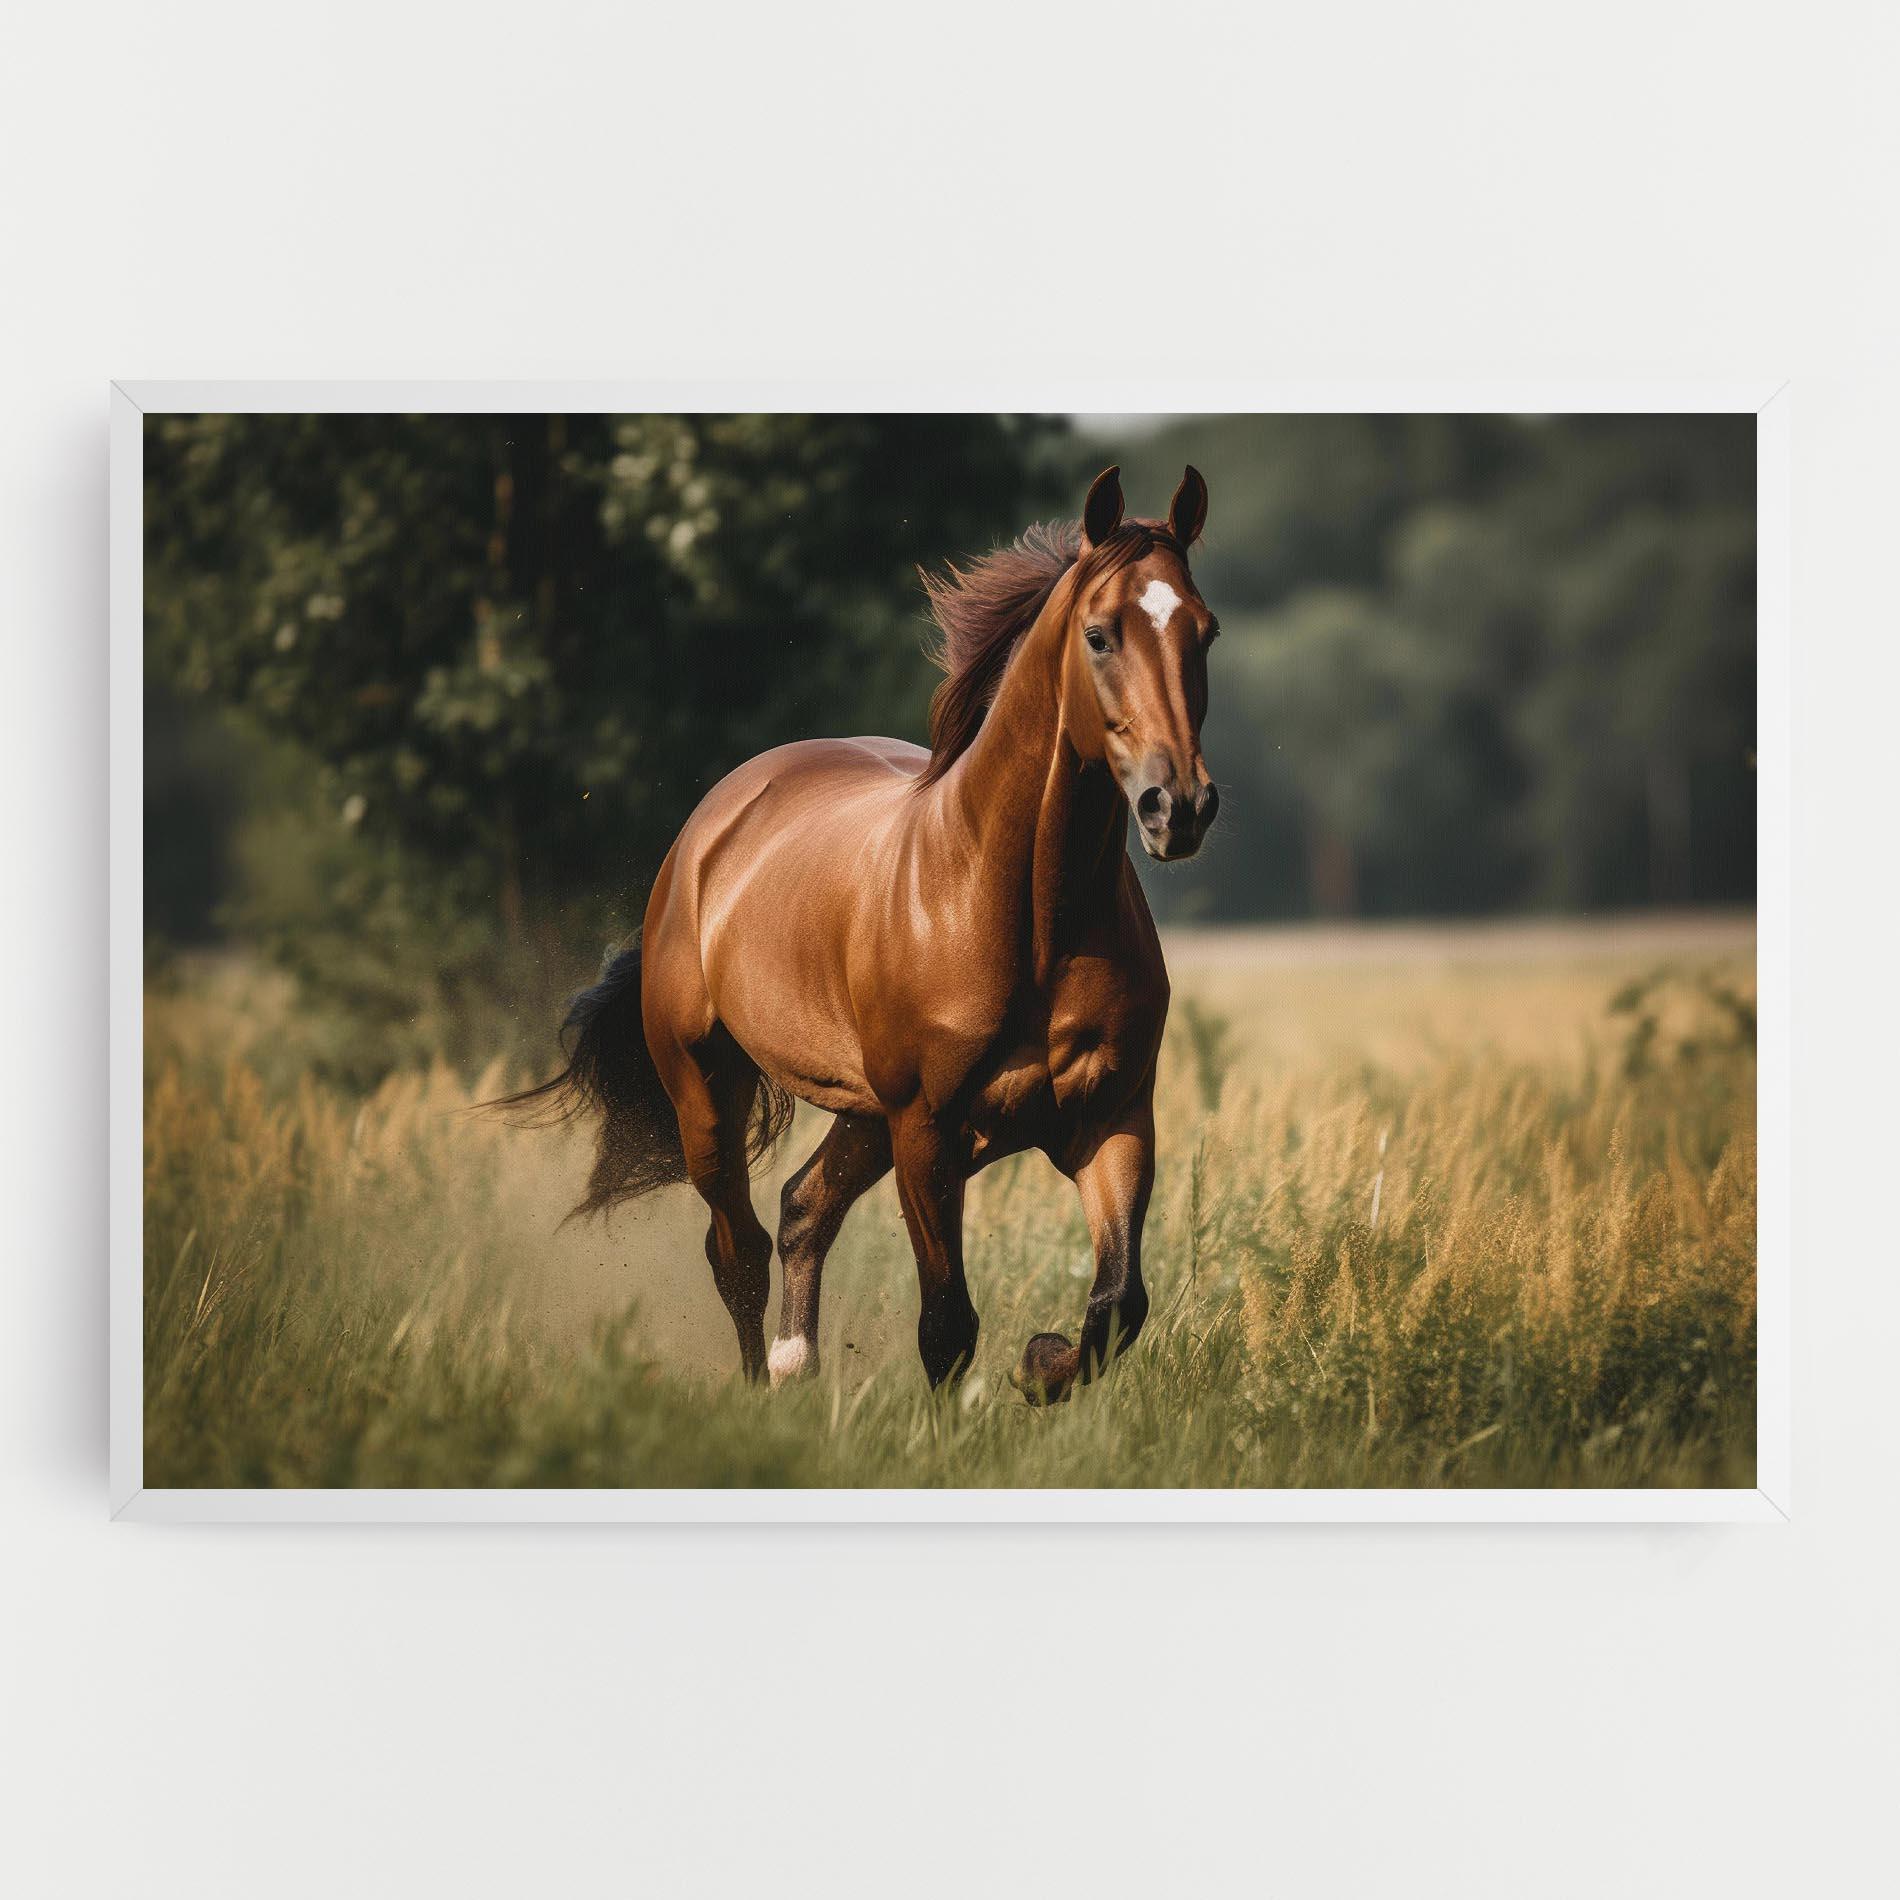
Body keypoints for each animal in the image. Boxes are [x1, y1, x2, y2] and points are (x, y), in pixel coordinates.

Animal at [504, 464, 1220, 1404]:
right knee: (738, 1251)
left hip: (864, 1115)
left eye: (1205, 632)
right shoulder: (927, 1131)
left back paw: (796, 1364)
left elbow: (1118, 1304)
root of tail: (707, 833)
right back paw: (761, 1386)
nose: (1181, 808)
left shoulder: (1114, 1117)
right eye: (1100, 635)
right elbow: (947, 1325)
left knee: (803, 1209)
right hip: (710, 1094)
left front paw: (1040, 1365)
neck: (1028, 920)